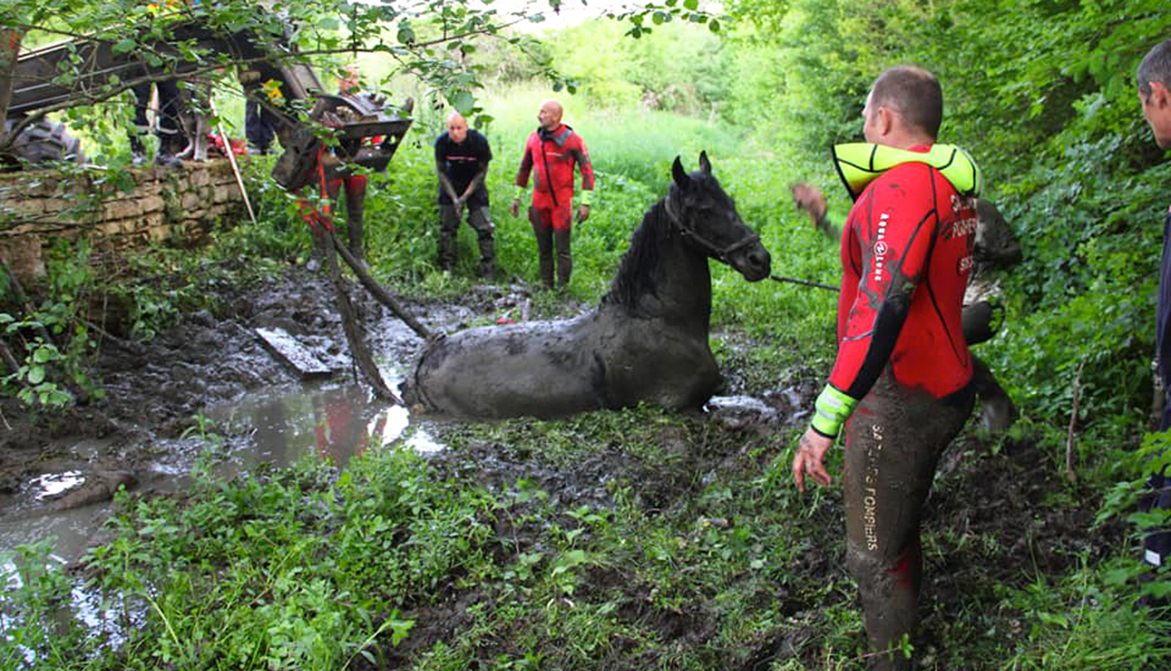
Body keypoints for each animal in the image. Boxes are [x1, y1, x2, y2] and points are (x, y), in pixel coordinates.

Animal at [409, 152, 772, 419]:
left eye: (731, 202)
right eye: (704, 210)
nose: (760, 259)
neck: (657, 321)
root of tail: (432, 350)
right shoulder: (679, 407)